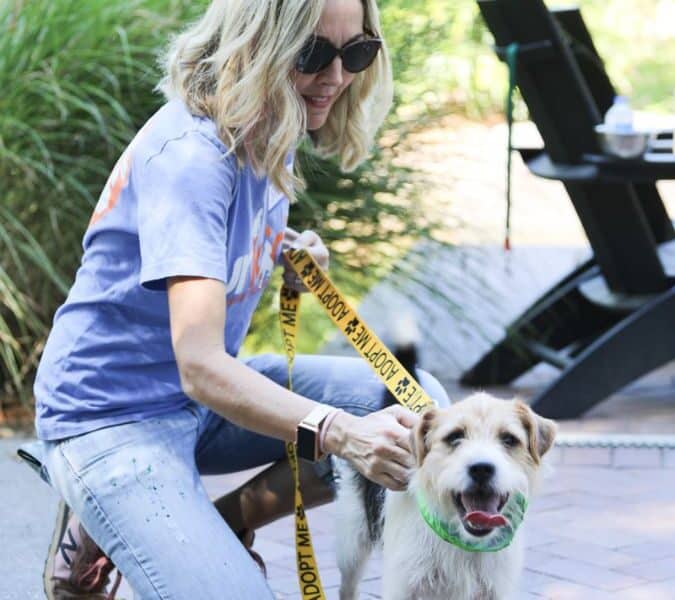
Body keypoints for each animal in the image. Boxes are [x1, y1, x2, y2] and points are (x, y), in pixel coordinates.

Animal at [336, 380, 556, 596]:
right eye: (454, 437)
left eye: (509, 439)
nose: (481, 469)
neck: (463, 541)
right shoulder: (401, 586)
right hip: (351, 549)